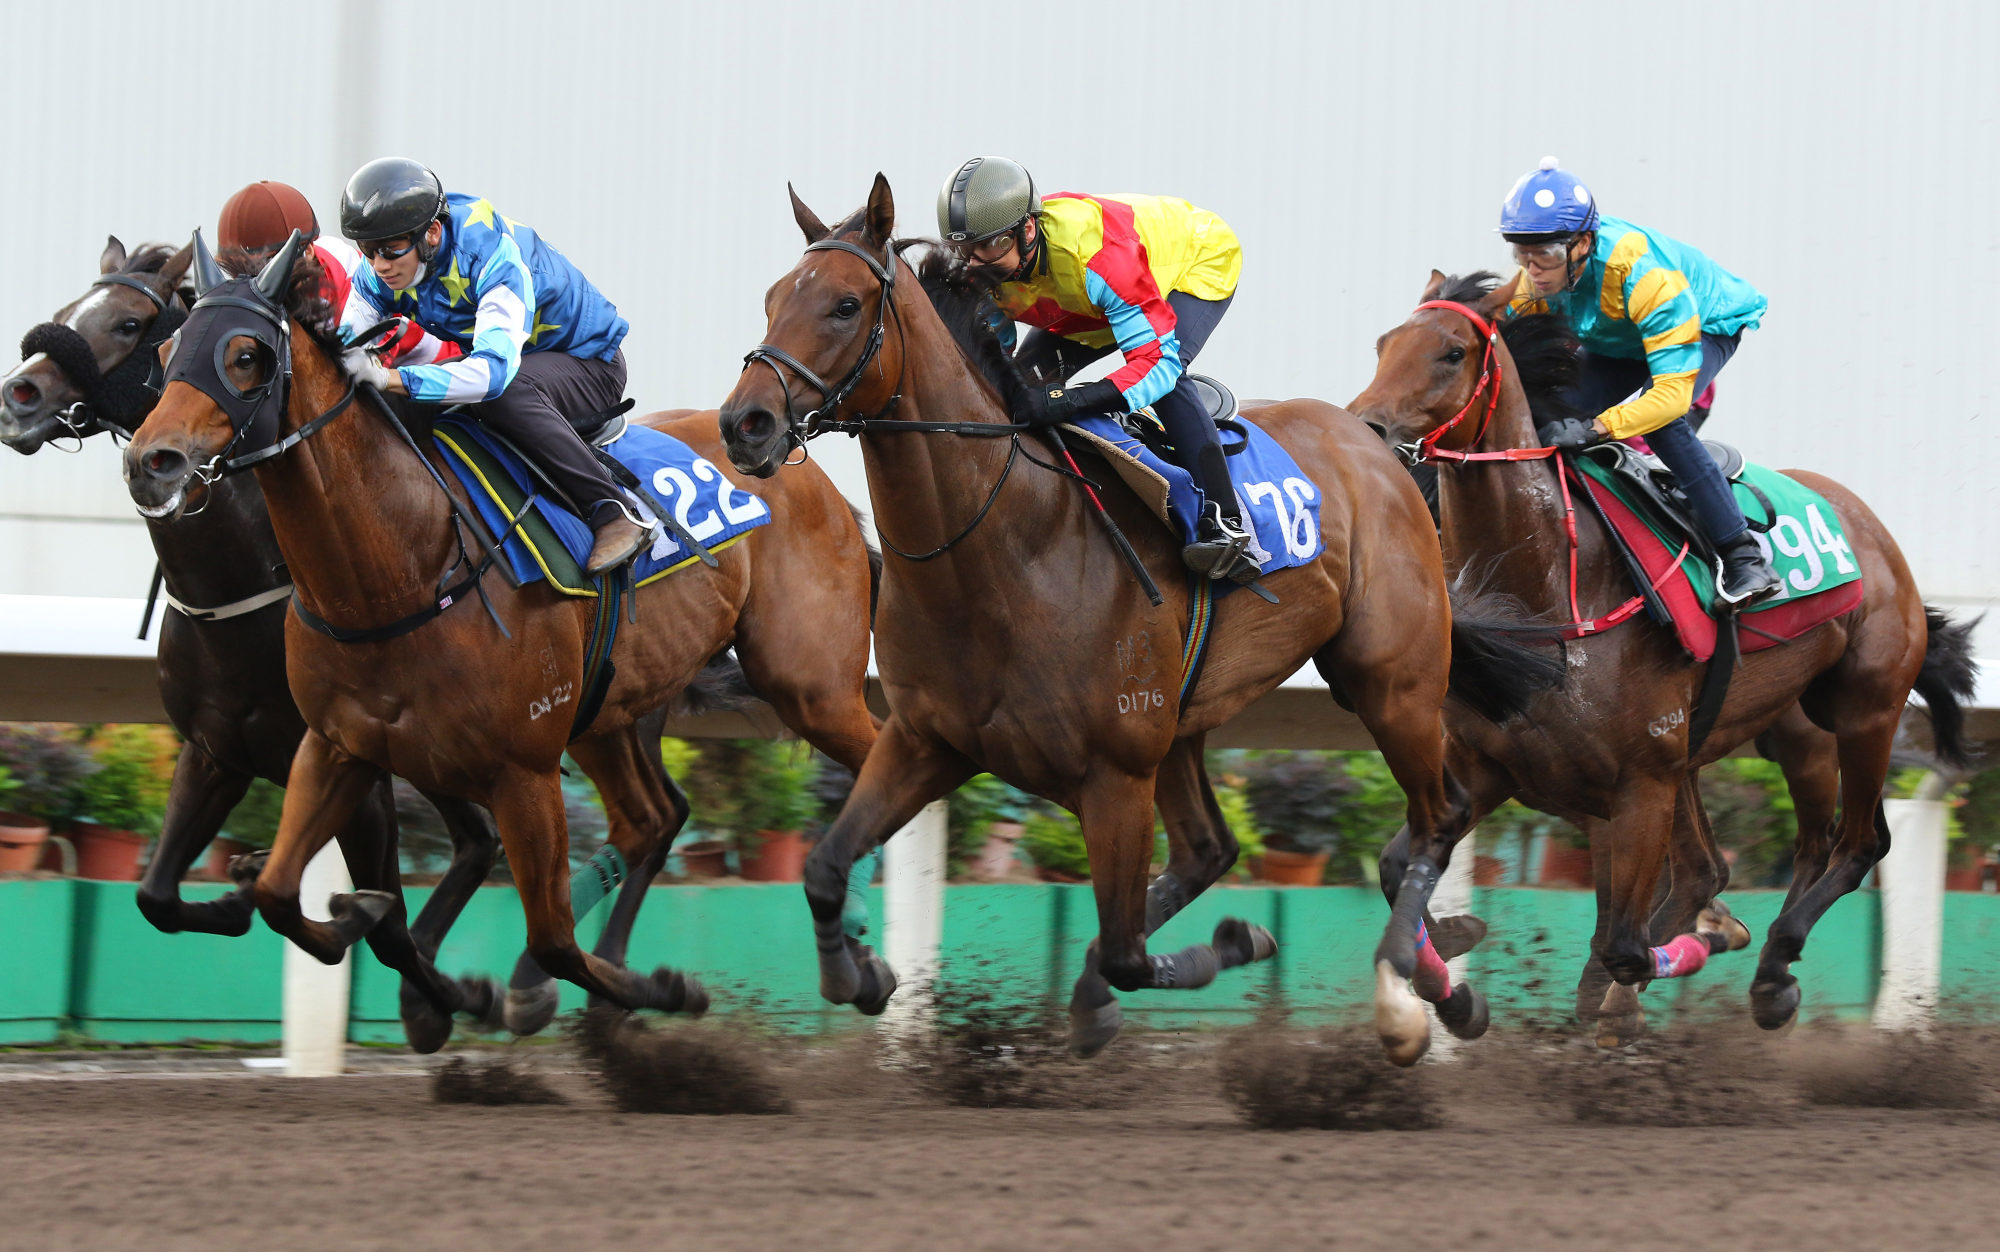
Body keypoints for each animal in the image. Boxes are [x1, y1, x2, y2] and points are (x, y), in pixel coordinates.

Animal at [3, 239, 516, 1048]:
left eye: (128, 323)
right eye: (64, 314)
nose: (17, 396)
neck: (243, 591)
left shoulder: (360, 769)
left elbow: (382, 924)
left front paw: (465, 993)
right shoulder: (215, 751)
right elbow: (154, 894)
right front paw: (236, 892)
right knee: (476, 839)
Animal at [119, 232, 876, 1024]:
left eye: (246, 355)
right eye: (168, 352)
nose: (151, 461)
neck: (401, 571)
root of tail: (799, 463)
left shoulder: (523, 772)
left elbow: (553, 941)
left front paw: (653, 988)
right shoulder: (332, 746)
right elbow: (273, 897)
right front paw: (339, 907)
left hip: (811, 688)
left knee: (878, 762)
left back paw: (854, 958)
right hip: (610, 709)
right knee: (651, 818)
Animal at [1352, 266, 1976, 1032]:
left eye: (1450, 352)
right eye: (1384, 344)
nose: (1366, 428)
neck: (1553, 586)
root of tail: (1870, 526)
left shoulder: (1642, 780)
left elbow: (1627, 946)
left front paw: (1668, 967)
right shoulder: (1492, 765)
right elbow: (1394, 867)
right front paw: (1456, 979)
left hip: (1864, 712)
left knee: (1857, 843)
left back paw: (1773, 971)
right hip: (1769, 735)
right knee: (1779, 851)